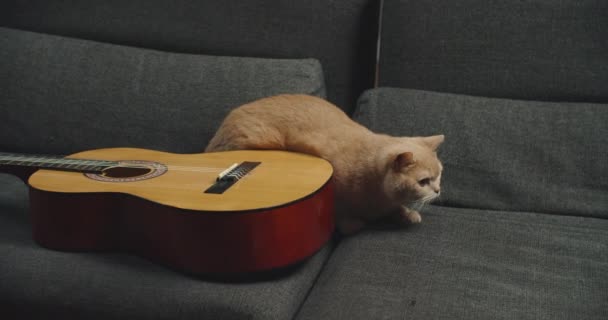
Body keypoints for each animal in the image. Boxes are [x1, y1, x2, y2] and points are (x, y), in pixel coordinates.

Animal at [207, 94, 444, 234]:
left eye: (440, 175)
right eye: (424, 181)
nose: (438, 190)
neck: (379, 193)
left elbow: (397, 209)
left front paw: (407, 213)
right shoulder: (334, 181)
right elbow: (339, 212)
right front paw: (352, 224)